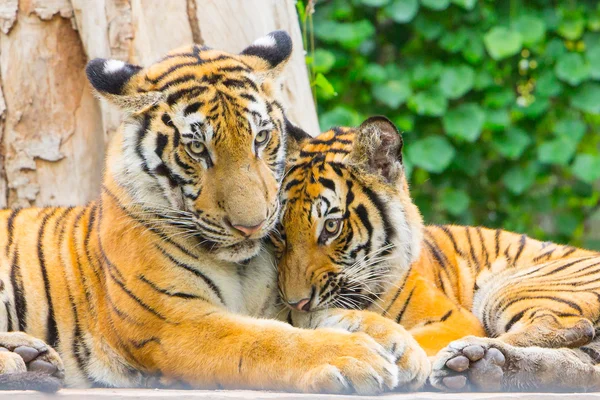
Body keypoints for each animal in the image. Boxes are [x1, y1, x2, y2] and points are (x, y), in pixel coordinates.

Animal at [0, 32, 428, 394]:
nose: (251, 226)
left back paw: (33, 356)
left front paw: (400, 344)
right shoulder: (175, 320)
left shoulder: (281, 299)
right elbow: (266, 339)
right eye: (196, 149)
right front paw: (354, 355)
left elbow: (321, 313)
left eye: (261, 137)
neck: (241, 265)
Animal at [276, 115, 600, 390]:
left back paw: (461, 359)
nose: (297, 304)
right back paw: (480, 365)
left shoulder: (452, 320)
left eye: (331, 226)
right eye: (280, 231)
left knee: (566, 325)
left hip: (512, 288)